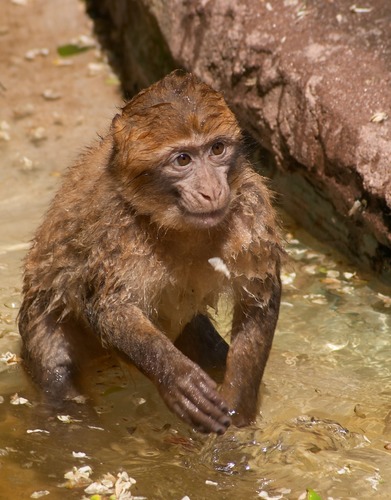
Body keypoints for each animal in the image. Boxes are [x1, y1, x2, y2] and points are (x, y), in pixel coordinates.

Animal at [17, 70, 284, 434]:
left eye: (217, 149)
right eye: (183, 159)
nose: (212, 191)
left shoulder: (252, 207)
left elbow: (259, 297)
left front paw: (238, 411)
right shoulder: (117, 227)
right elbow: (110, 309)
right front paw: (176, 378)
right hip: (41, 323)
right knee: (57, 376)